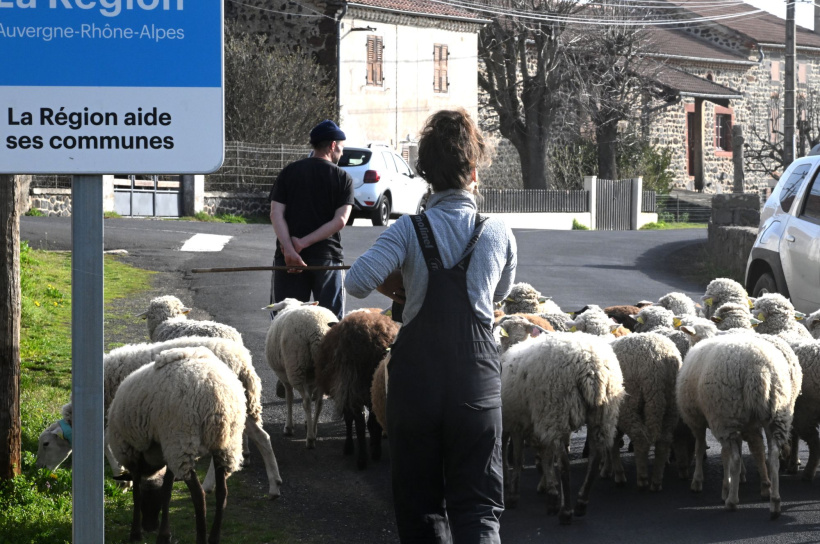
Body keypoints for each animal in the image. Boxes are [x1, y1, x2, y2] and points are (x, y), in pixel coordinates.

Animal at [36, 338, 282, 500]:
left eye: (46, 444)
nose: (39, 469)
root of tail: (243, 360)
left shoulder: (116, 417)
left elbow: (106, 445)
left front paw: (122, 479)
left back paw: (208, 485)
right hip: (239, 408)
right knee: (262, 437)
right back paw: (274, 485)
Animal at [106, 346, 247, 544]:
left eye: (149, 499)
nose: (149, 527)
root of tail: (217, 397)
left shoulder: (134, 451)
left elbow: (137, 492)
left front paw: (136, 533)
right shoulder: (167, 452)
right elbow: (167, 490)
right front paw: (164, 535)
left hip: (181, 441)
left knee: (199, 495)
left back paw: (201, 538)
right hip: (226, 445)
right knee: (222, 493)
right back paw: (214, 537)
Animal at [264, 300, 338, 448]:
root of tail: (318, 331)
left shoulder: (283, 374)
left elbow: (289, 397)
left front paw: (288, 427)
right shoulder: (310, 379)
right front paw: (306, 423)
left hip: (295, 366)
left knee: (307, 402)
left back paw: (310, 439)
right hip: (323, 371)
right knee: (319, 402)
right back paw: (313, 430)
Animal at [496, 320, 624, 524]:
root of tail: (591, 366)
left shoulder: (518, 421)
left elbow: (518, 458)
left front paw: (515, 496)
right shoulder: (538, 422)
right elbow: (545, 455)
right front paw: (551, 492)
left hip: (556, 407)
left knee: (564, 462)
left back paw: (566, 512)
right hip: (602, 414)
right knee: (595, 455)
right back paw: (581, 502)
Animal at [676, 336, 804, 520]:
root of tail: (760, 369)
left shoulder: (697, 420)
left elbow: (700, 449)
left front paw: (699, 481)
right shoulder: (744, 425)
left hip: (726, 414)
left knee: (735, 458)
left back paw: (732, 501)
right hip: (777, 414)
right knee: (772, 456)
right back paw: (774, 502)